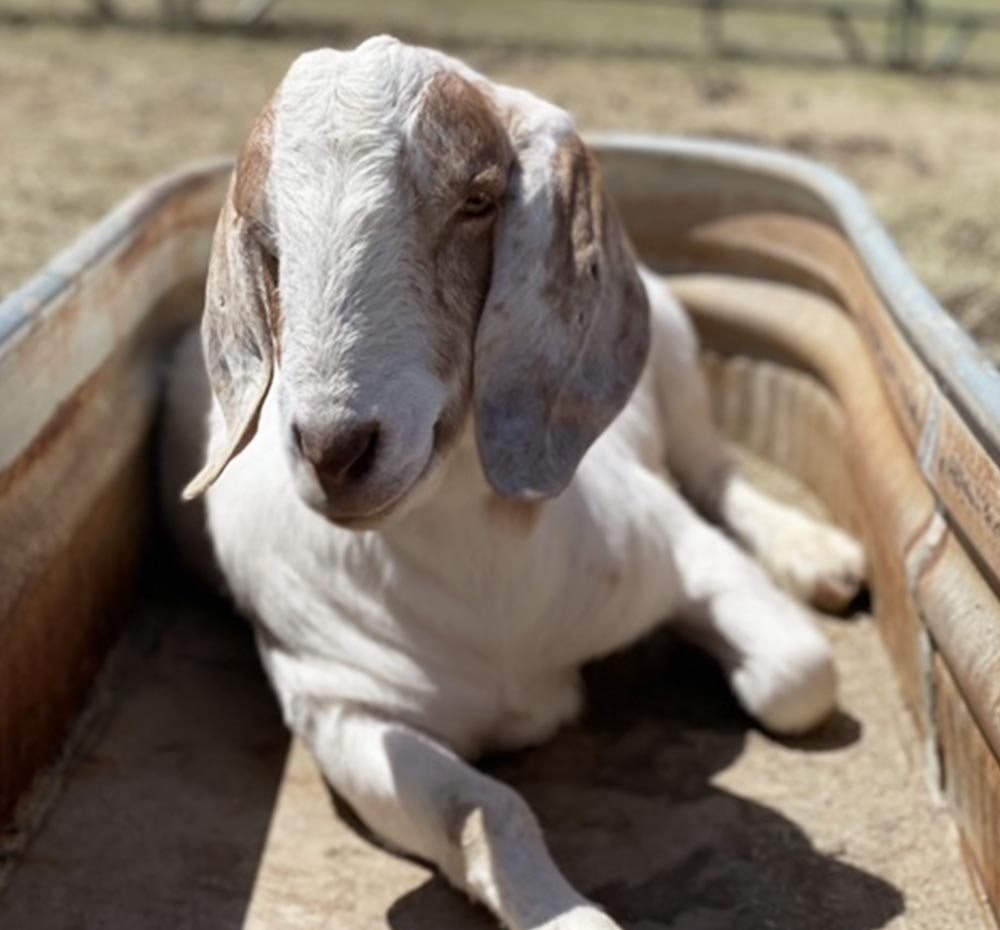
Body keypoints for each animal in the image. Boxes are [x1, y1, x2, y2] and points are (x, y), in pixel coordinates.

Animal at [161, 36, 865, 930]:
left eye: (478, 198)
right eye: (268, 239)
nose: (334, 450)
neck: (490, 584)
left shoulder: (678, 546)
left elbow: (800, 678)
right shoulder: (340, 709)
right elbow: (482, 811)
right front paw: (568, 913)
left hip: (676, 352)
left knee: (717, 468)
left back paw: (816, 556)